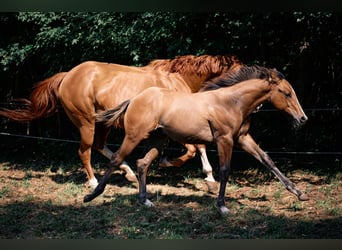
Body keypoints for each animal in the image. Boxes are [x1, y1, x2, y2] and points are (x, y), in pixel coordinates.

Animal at [0, 54, 242, 188]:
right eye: (241, 70)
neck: (177, 79)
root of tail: (67, 76)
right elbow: (192, 150)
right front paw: (167, 163)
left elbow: (199, 147)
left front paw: (210, 179)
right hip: (86, 122)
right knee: (84, 150)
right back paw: (94, 182)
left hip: (103, 123)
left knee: (99, 146)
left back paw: (129, 174)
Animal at [84, 66, 308, 215]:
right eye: (286, 93)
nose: (302, 118)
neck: (232, 102)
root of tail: (134, 99)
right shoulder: (224, 140)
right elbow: (224, 170)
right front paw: (222, 206)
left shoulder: (242, 139)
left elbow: (267, 160)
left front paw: (299, 193)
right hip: (134, 136)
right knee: (116, 159)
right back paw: (92, 195)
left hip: (158, 139)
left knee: (143, 163)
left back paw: (144, 201)